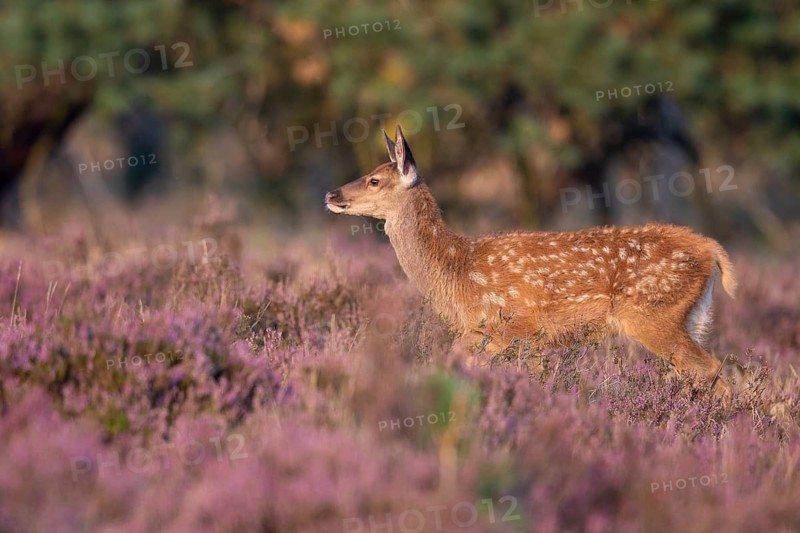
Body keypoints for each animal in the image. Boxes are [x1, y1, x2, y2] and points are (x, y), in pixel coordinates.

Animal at [325, 125, 737, 399]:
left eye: (374, 180)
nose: (331, 194)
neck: (456, 273)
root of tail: (711, 249)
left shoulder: (520, 327)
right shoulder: (482, 335)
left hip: (653, 314)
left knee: (720, 373)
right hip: (687, 319)